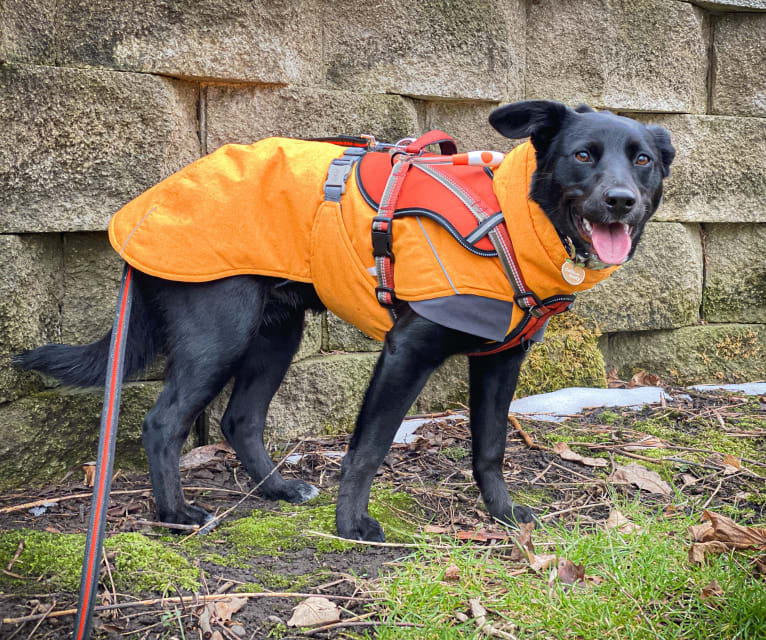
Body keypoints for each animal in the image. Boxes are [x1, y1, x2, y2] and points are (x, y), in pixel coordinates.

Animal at [15, 100, 676, 540]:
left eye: (642, 160)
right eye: (583, 155)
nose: (621, 201)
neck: (510, 222)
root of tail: (144, 210)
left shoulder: (501, 360)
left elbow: (489, 447)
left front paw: (504, 514)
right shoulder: (405, 352)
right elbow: (369, 446)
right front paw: (351, 523)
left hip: (277, 334)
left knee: (239, 419)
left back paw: (278, 489)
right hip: (219, 334)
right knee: (163, 422)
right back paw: (176, 515)